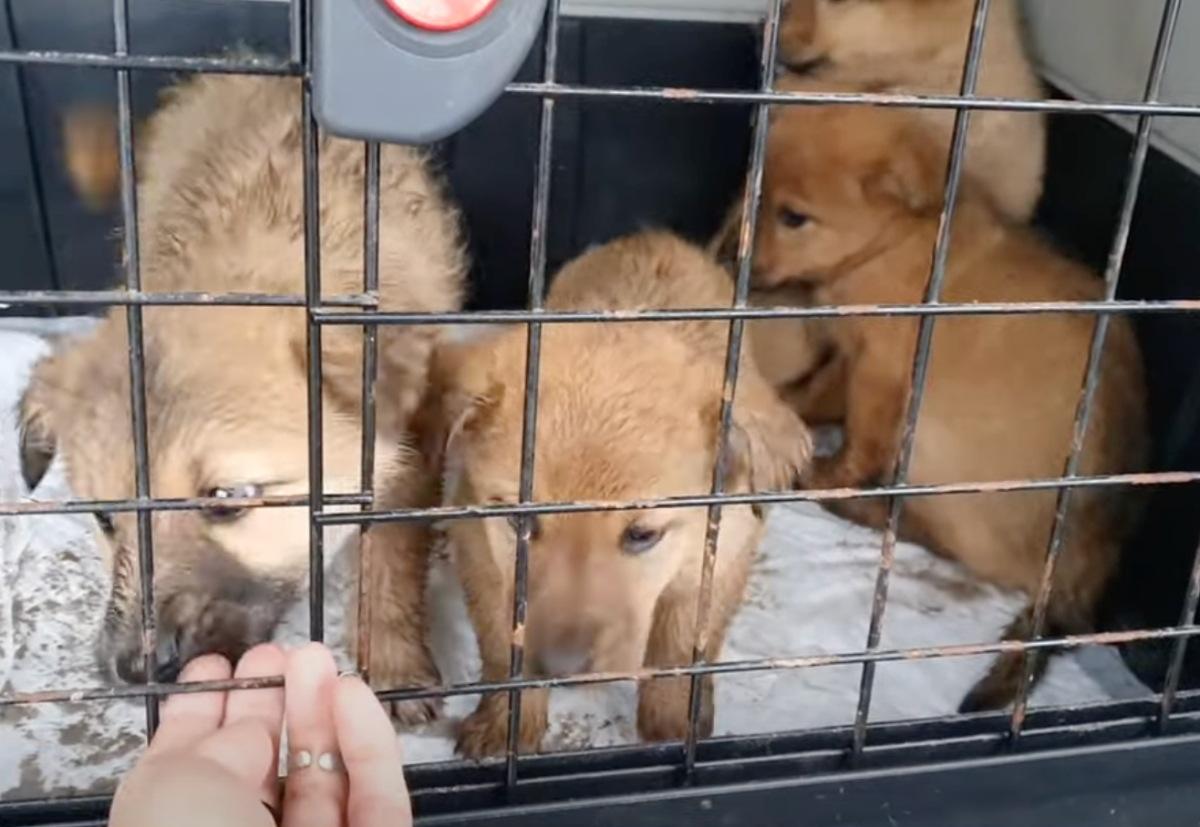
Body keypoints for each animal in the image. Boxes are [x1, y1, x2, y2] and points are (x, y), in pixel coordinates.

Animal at [24, 75, 463, 720]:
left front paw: (394, 662)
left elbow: (389, 550)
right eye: (105, 517)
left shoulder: (410, 436)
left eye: (230, 498)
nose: (136, 672)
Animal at [427, 230, 811, 753]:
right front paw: (507, 724)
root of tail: (653, 236)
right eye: (520, 521)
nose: (562, 668)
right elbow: (501, 642)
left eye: (642, 535)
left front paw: (675, 723)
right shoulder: (481, 547)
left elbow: (683, 641)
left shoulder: (725, 547)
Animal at [744, 103, 1147, 710]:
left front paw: (826, 470)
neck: (900, 238)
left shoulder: (881, 370)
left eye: (794, 217)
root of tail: (1082, 562)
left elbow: (857, 440)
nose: (734, 258)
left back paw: (853, 504)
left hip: (931, 441)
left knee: (941, 540)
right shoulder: (851, 350)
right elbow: (812, 394)